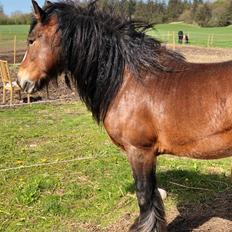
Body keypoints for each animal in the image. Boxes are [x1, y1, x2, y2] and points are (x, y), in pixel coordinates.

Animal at [16, 0, 232, 231]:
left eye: (31, 40)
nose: (21, 81)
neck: (131, 79)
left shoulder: (139, 152)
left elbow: (145, 196)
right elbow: (153, 196)